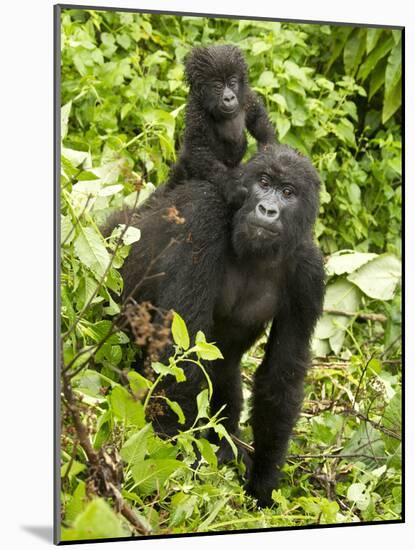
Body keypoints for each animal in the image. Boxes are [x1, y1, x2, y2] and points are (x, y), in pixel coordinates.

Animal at [109, 143, 326, 508]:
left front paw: (263, 483)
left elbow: (281, 377)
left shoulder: (309, 273)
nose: (267, 209)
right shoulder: (204, 213)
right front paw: (173, 461)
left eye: (288, 192)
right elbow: (180, 352)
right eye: (263, 182)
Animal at [167, 45, 278, 208]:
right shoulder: (196, 111)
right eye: (218, 86)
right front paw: (232, 188)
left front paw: (270, 151)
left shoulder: (247, 96)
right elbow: (200, 149)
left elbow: (258, 120)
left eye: (232, 83)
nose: (229, 97)